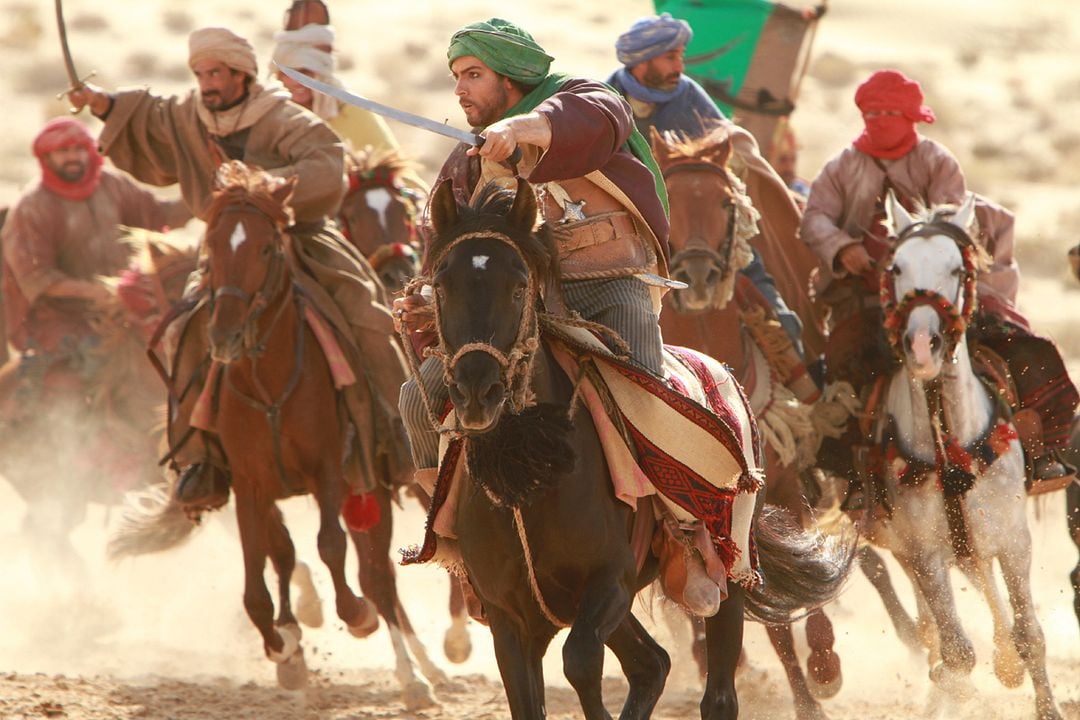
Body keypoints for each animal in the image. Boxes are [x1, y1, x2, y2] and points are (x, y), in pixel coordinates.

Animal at [108, 165, 442, 708]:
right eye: (213, 247)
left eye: (266, 248)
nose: (224, 334)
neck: (267, 385)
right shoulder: (251, 485)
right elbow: (258, 580)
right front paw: (283, 646)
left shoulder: (330, 471)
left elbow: (333, 547)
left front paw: (355, 616)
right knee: (294, 557)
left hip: (366, 479)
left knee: (377, 575)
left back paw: (417, 672)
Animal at [416, 179, 855, 720]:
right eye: (441, 286)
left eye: (518, 286)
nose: (478, 390)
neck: (529, 481)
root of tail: (723, 369)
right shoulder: (508, 619)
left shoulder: (609, 582)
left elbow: (581, 660)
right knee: (653, 664)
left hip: (728, 569)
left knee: (719, 690)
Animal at [648, 129, 920, 720]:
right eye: (669, 202)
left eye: (726, 204)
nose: (697, 276)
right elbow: (766, 614)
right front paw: (806, 689)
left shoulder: (786, 484)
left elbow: (812, 565)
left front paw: (824, 665)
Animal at [864, 193, 1058, 720]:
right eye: (896, 267)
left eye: (956, 269)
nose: (921, 345)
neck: (948, 443)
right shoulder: (927, 555)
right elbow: (956, 654)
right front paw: (951, 688)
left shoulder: (1014, 541)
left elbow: (1030, 633)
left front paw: (1043, 701)